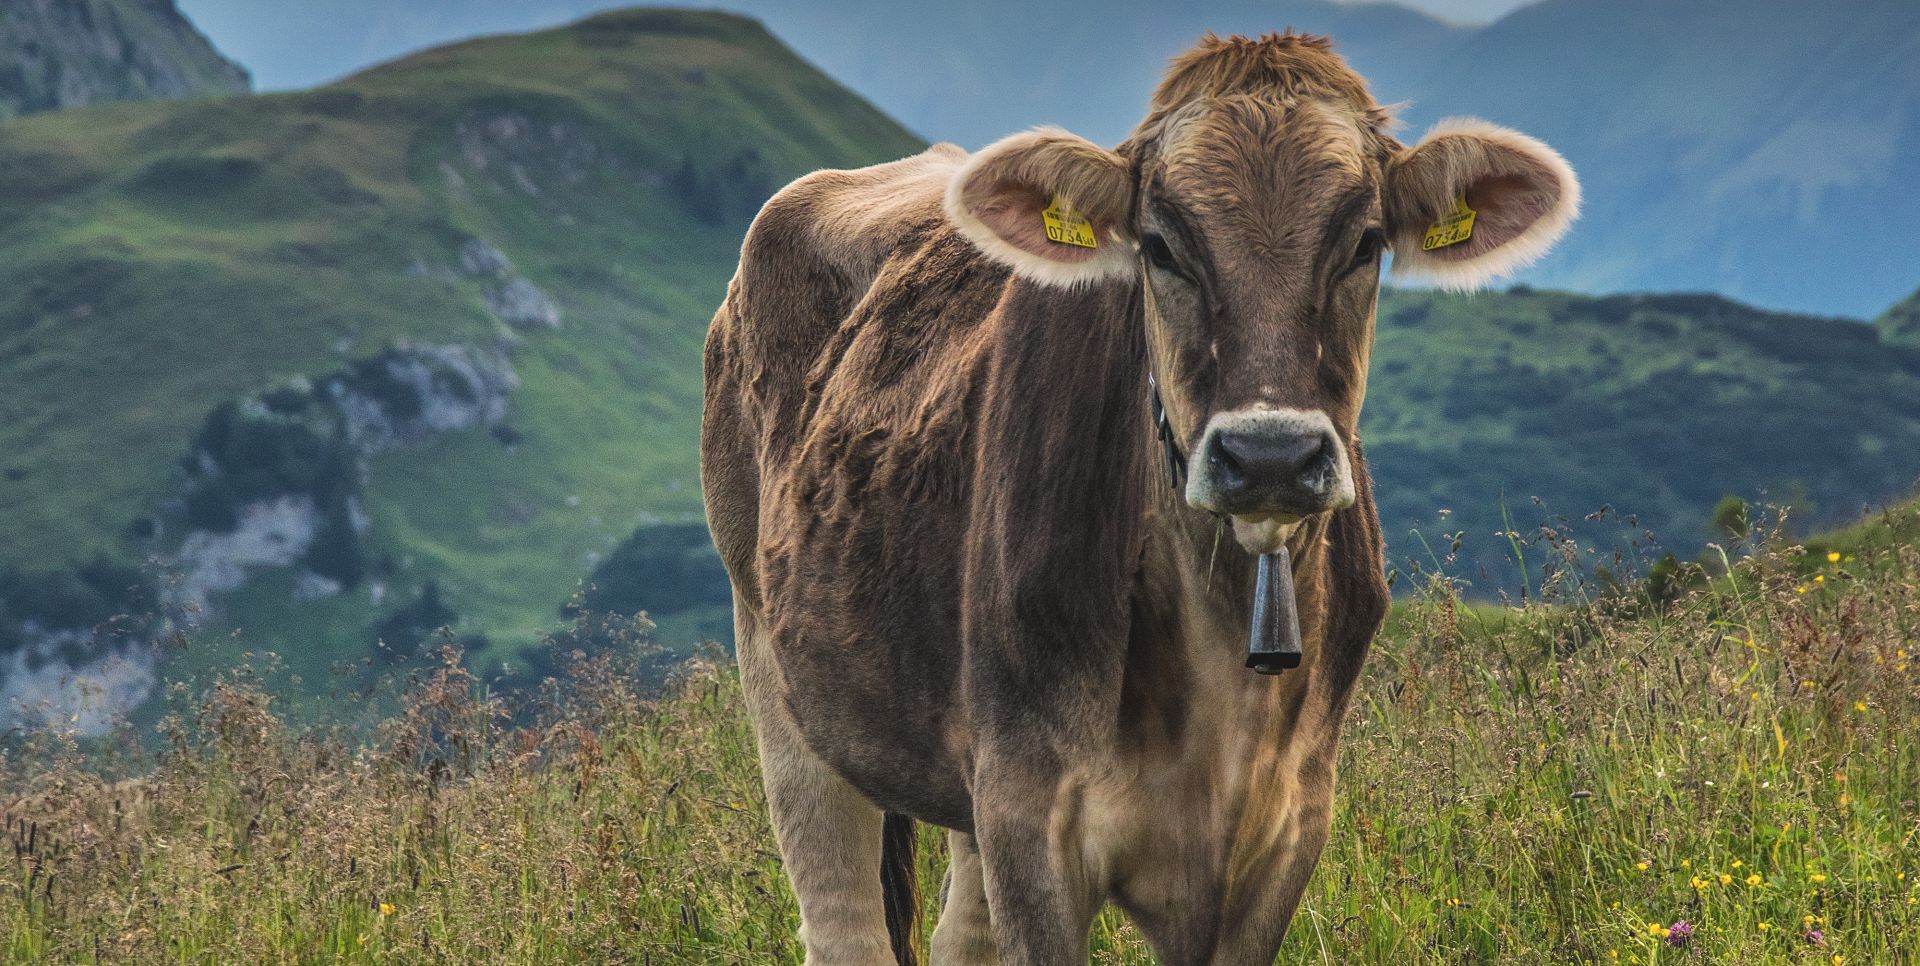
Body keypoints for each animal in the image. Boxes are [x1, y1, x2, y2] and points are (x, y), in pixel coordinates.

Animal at [701, 31, 1578, 965]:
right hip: (779, 675)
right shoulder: (1029, 820)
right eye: (1160, 246)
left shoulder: (1287, 829)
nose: (1269, 454)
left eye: (1365, 242)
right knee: (842, 917)